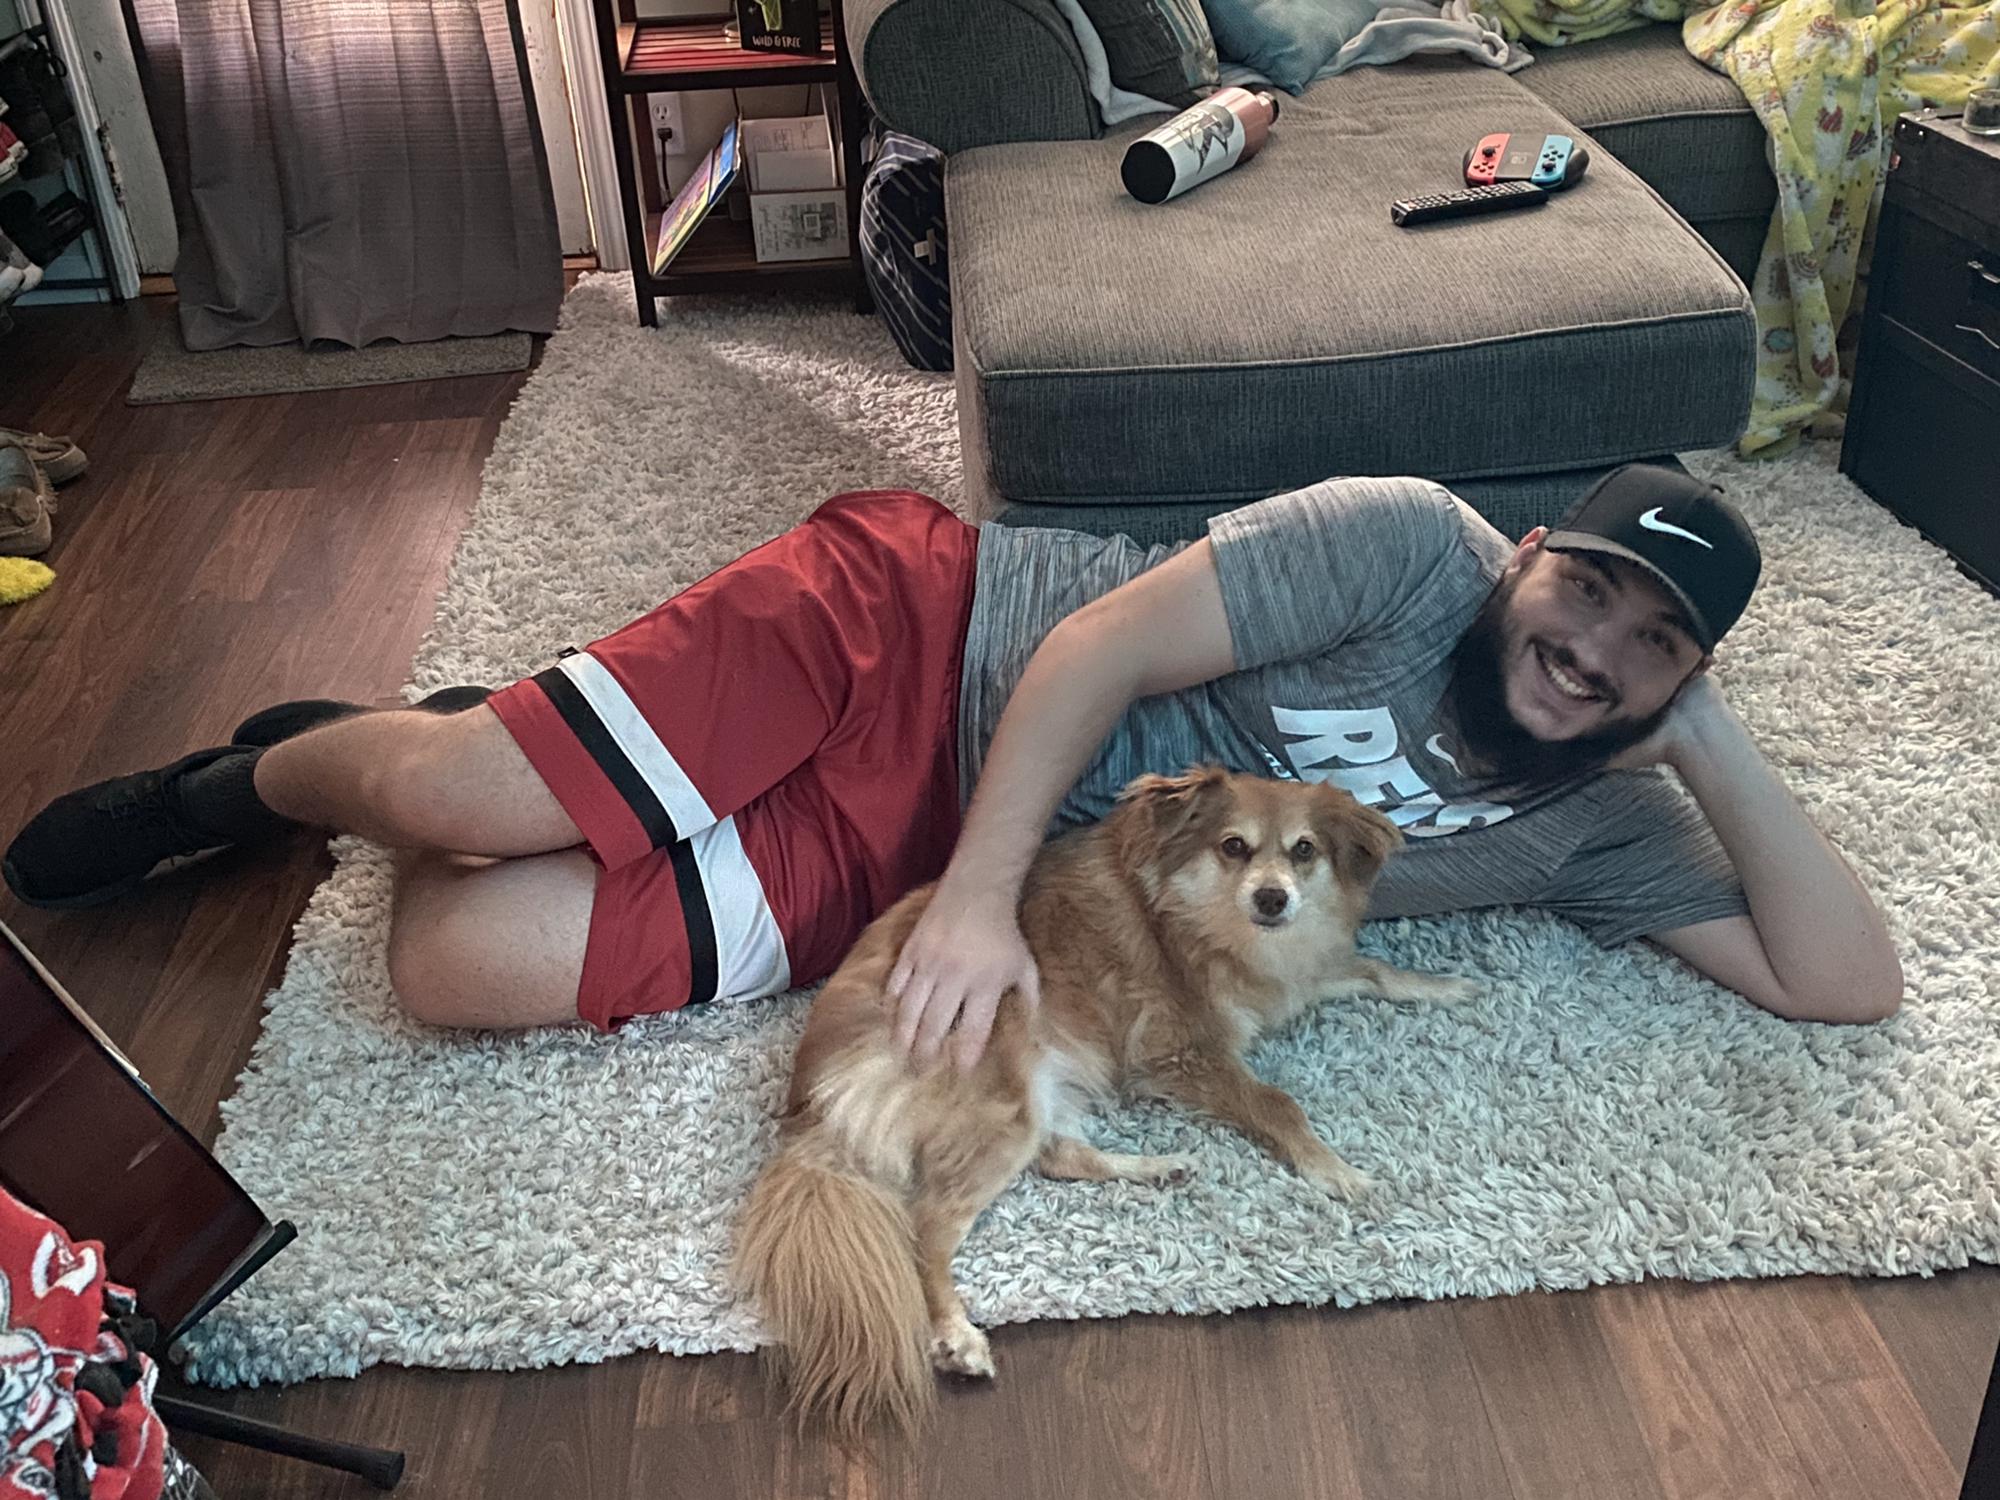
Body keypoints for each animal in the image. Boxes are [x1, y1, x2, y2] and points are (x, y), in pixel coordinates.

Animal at [732, 766, 1475, 1440]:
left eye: (1304, 851)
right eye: (1233, 847)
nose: (1272, 899)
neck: (1196, 919)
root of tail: (813, 1103)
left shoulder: (1290, 978)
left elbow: (1372, 970)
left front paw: (1443, 985)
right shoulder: (1185, 1054)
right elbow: (1277, 1103)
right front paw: (1337, 1170)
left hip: (1042, 1096)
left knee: (1059, 1158)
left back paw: (1158, 1168)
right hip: (1005, 1103)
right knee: (930, 1226)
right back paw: (956, 1335)